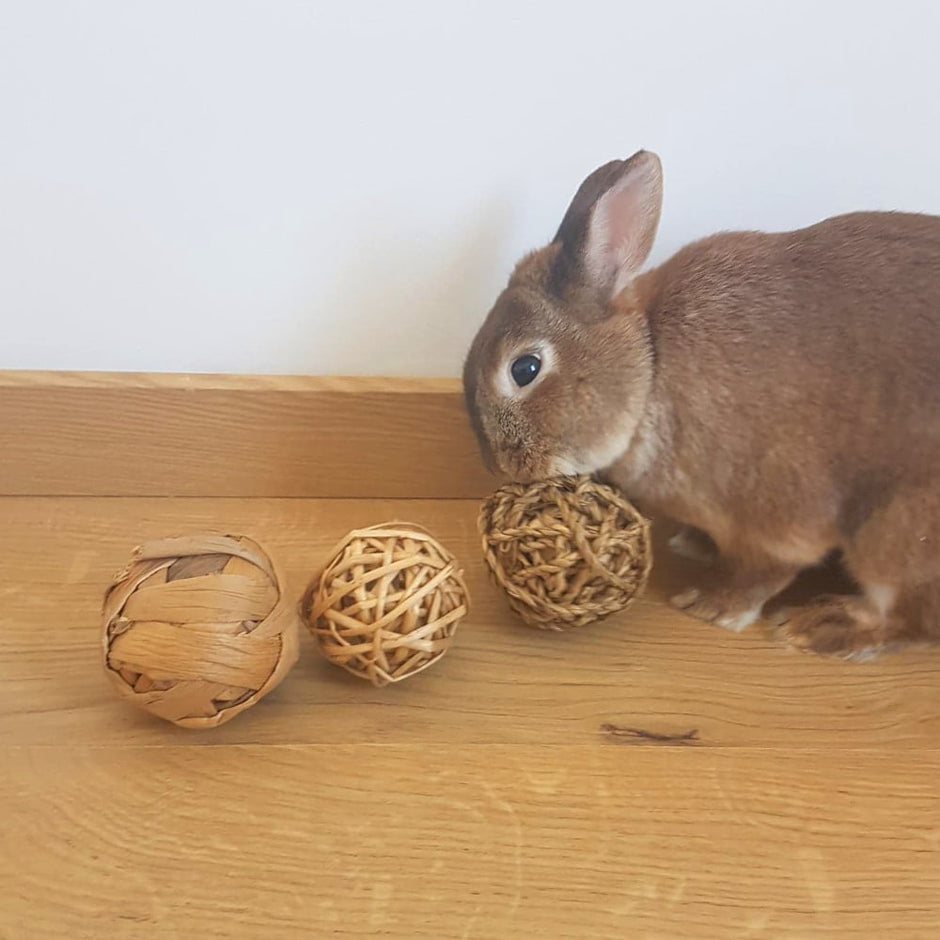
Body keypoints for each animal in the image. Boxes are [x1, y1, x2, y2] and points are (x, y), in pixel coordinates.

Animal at [464, 149, 940, 660]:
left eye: (525, 369)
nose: (502, 466)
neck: (651, 362)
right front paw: (693, 543)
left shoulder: (775, 513)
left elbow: (764, 569)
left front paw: (711, 605)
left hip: (894, 533)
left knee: (910, 617)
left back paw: (821, 625)